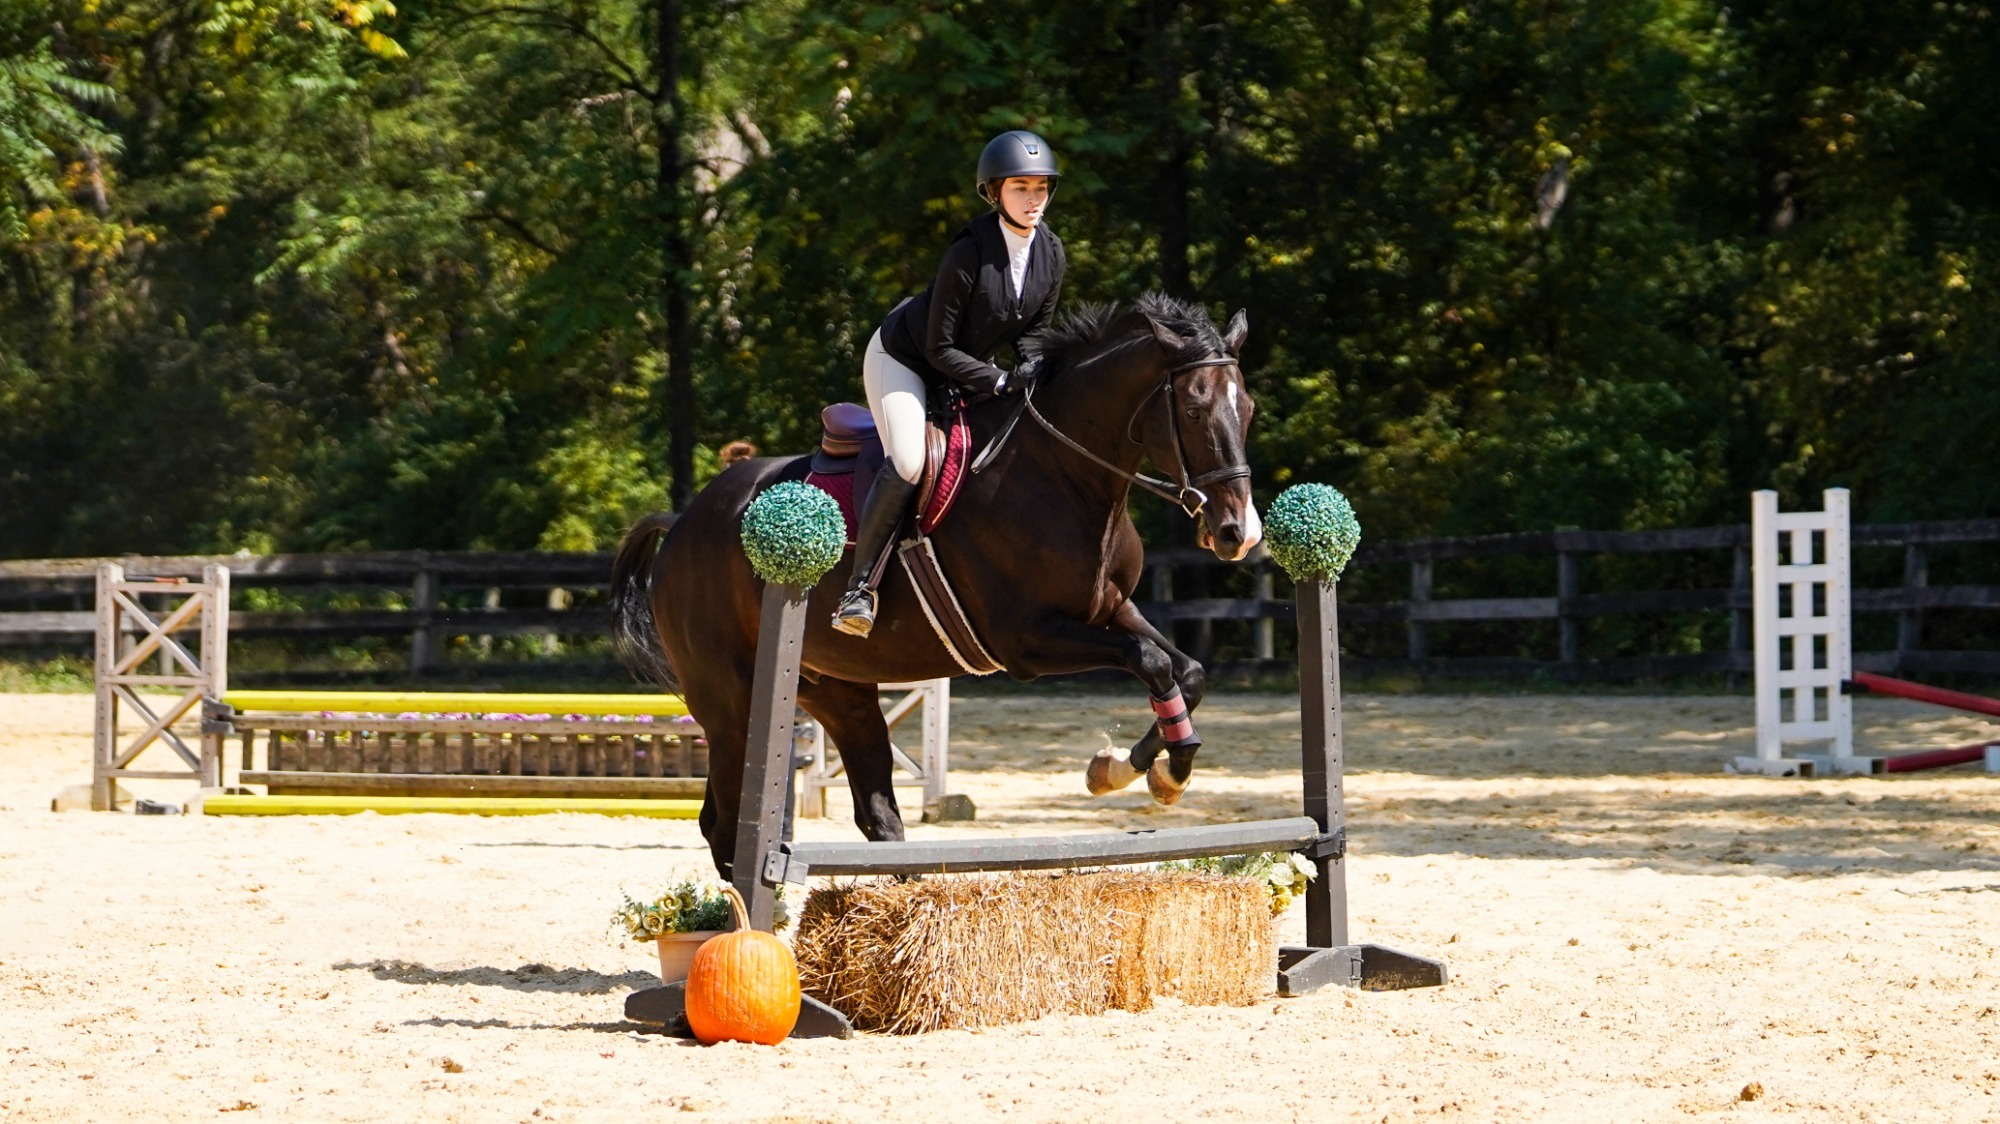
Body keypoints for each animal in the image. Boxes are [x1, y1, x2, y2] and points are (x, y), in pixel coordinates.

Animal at [609, 293, 1261, 880]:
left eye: (1248, 408)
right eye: (1195, 410)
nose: (1238, 533)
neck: (1065, 475)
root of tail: (684, 522)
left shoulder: (1110, 609)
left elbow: (1185, 670)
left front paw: (1140, 769)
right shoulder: (1027, 641)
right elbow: (1151, 660)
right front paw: (1149, 771)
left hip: (835, 691)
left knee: (876, 814)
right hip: (729, 700)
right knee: (721, 822)